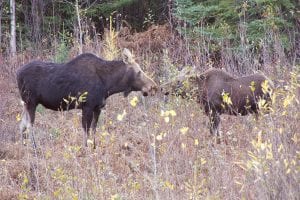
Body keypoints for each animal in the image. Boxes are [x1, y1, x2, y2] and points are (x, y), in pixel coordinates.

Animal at [16, 48, 158, 148]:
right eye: (138, 71)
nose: (153, 87)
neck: (108, 84)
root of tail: (17, 73)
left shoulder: (98, 107)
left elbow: (94, 130)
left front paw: (94, 147)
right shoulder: (87, 106)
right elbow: (86, 131)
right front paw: (86, 149)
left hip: (26, 103)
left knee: (21, 124)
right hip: (31, 102)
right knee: (29, 125)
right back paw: (34, 147)